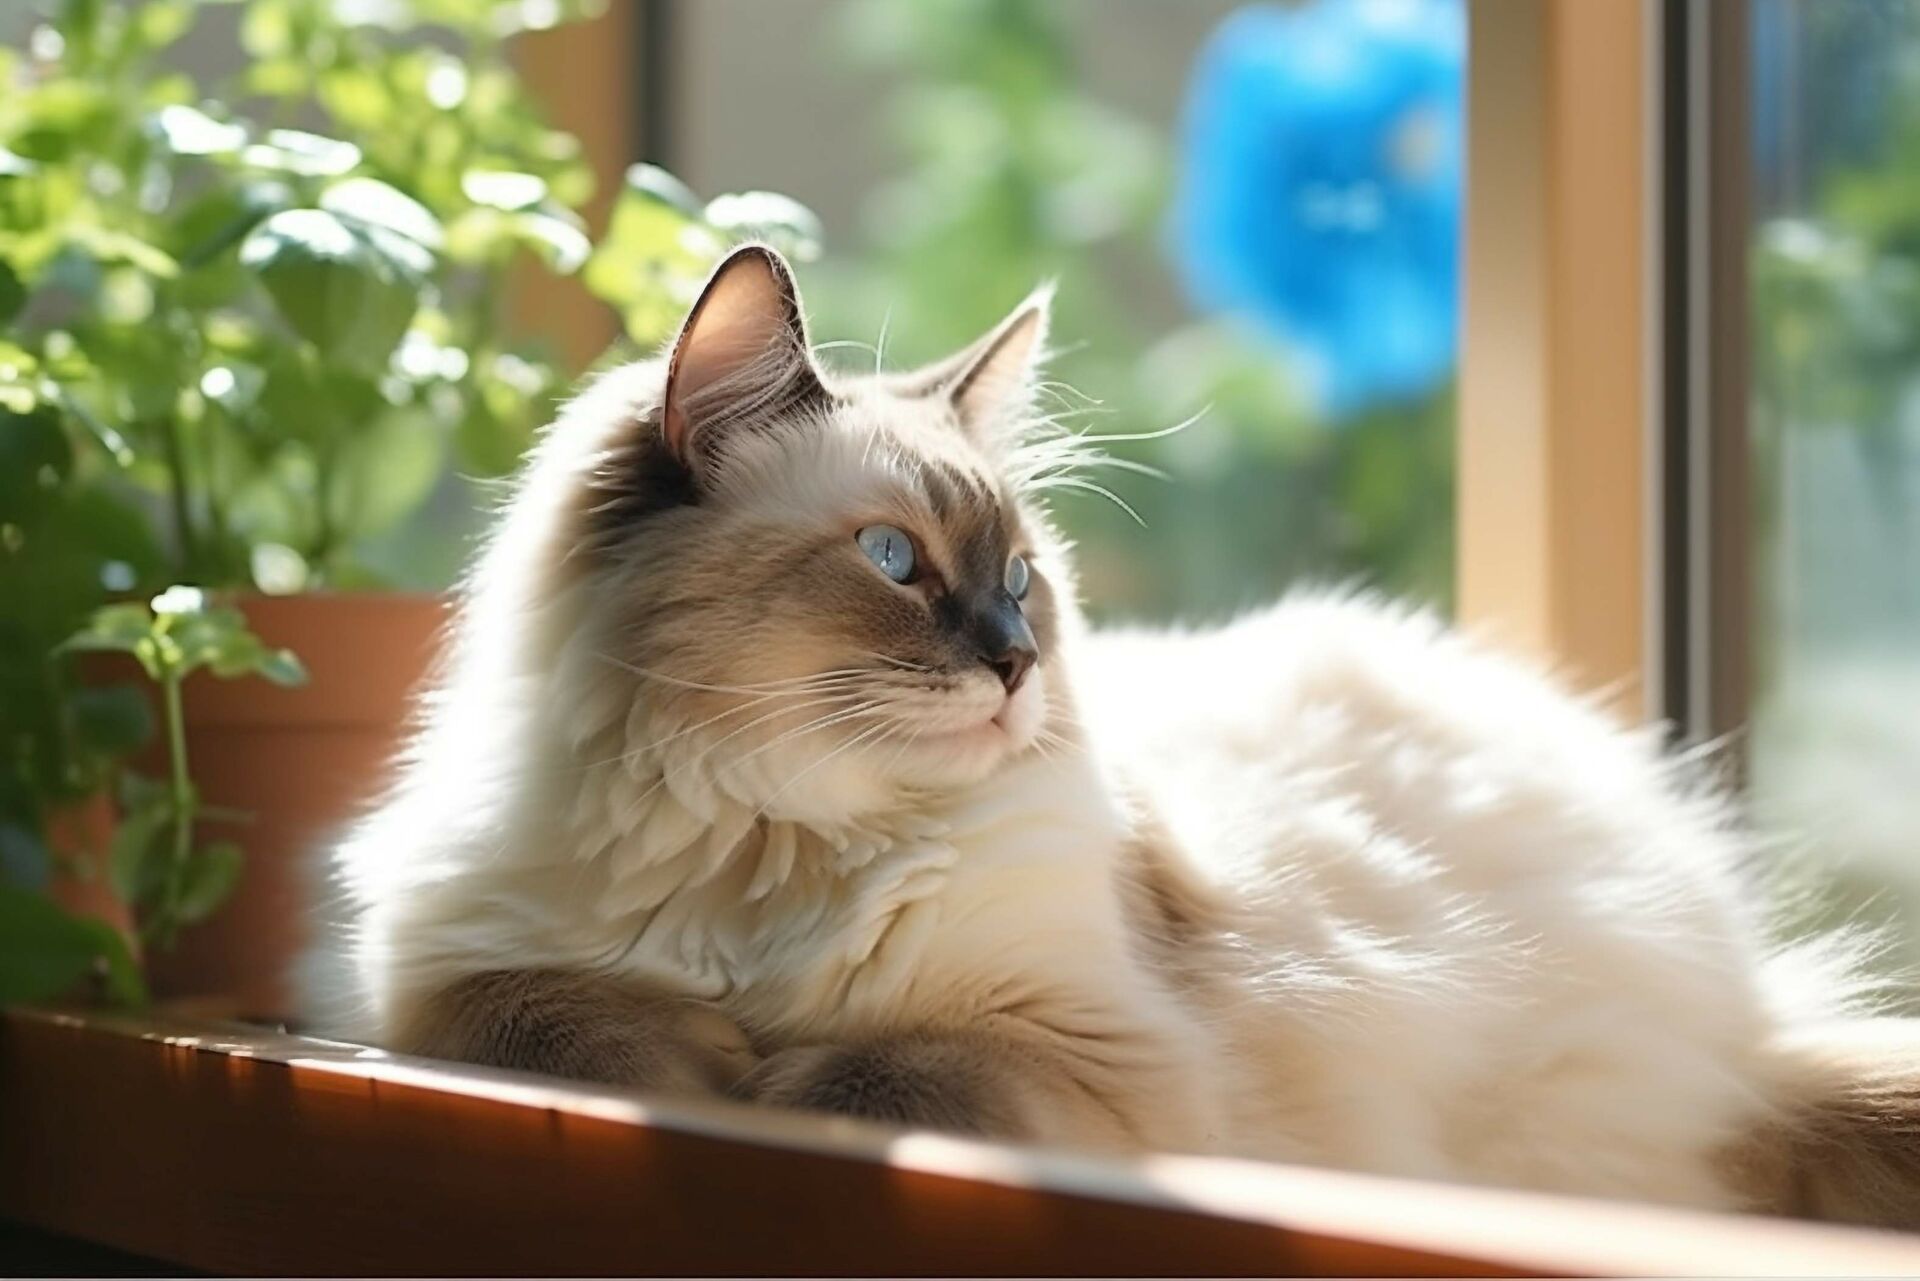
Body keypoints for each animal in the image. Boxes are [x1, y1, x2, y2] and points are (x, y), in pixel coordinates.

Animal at [299, 242, 1920, 1229]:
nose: (1017, 668)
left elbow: (867, 1074)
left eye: (1023, 580)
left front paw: (758, 1091)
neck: (768, 837)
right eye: (895, 563)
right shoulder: (426, 979)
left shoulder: (1076, 1043)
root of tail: (1745, 1023)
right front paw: (697, 1064)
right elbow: (550, 1011)